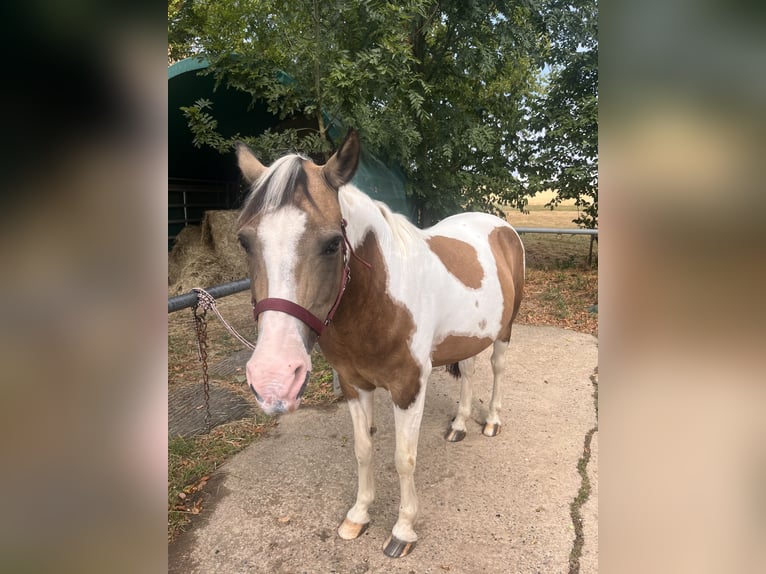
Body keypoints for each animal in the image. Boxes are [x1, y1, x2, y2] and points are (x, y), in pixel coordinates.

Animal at [234, 129, 525, 558]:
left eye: (332, 244)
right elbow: (363, 450)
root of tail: (500, 227)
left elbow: (404, 458)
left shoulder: (408, 387)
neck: (379, 300)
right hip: (468, 337)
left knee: (497, 368)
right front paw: (358, 516)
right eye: (245, 241)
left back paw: (490, 421)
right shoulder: (355, 384)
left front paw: (403, 530)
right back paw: (459, 424)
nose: (274, 378)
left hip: (504, 332)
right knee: (470, 371)